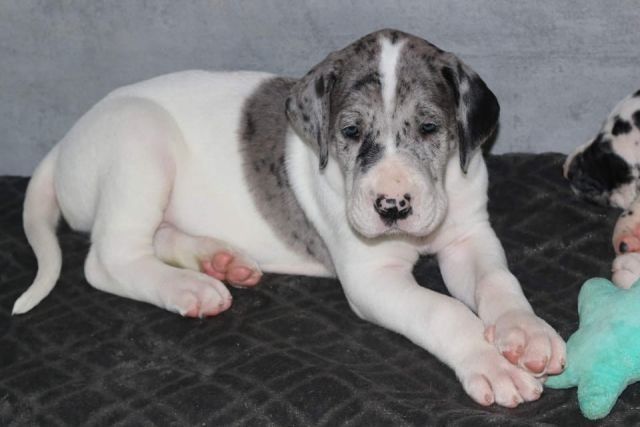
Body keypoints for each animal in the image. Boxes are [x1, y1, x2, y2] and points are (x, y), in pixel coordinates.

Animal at [13, 29, 564, 407]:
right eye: (350, 131)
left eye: (430, 127)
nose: (393, 207)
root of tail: (64, 144)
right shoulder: (372, 279)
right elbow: (442, 311)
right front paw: (488, 360)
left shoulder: (470, 237)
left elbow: (497, 281)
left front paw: (525, 332)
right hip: (140, 142)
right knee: (108, 260)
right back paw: (188, 288)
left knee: (158, 237)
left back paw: (218, 260)